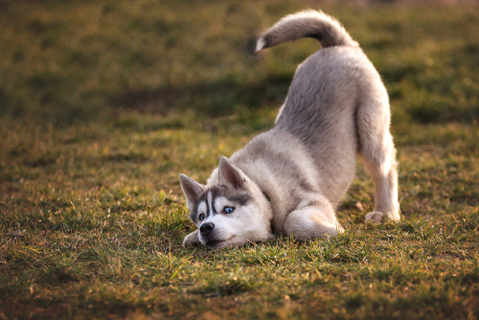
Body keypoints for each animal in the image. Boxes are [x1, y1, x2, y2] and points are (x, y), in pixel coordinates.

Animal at [179, 10, 402, 249]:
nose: (205, 228)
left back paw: (385, 212)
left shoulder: (315, 199)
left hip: (370, 126)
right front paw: (192, 236)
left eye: (228, 209)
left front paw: (334, 230)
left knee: (385, 169)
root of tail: (337, 45)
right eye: (201, 217)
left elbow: (292, 219)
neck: (262, 186)